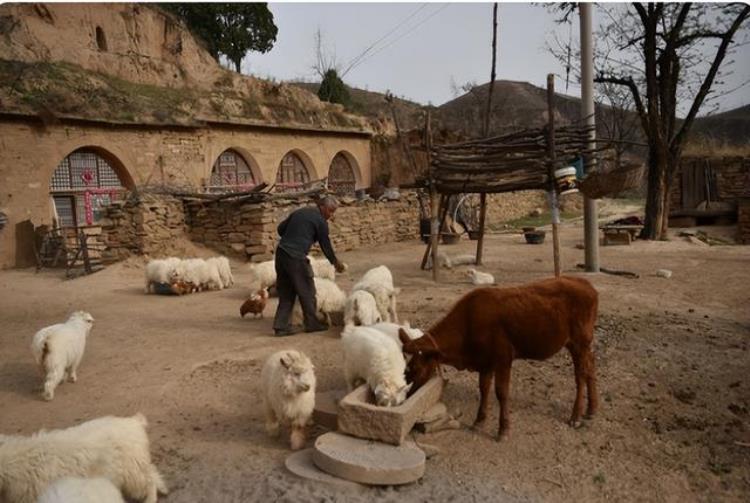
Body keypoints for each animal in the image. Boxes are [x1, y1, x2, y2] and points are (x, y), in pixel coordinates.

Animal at [400, 278, 600, 440]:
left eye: (415, 368)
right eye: (406, 368)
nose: (407, 395)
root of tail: (585, 283)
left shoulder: (503, 358)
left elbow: (501, 392)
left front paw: (503, 429)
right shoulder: (485, 362)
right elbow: (484, 388)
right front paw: (479, 421)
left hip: (579, 342)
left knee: (581, 374)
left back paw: (576, 416)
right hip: (582, 345)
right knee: (590, 367)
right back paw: (591, 409)